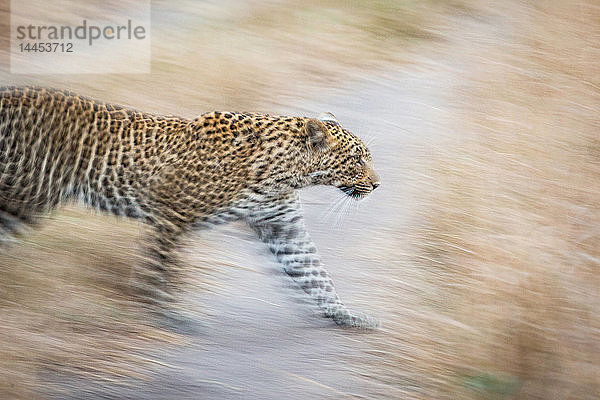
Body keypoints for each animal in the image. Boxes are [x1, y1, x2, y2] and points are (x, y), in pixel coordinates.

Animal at [0, 86, 382, 330]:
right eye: (357, 160)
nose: (378, 185)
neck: (287, 172)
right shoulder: (172, 218)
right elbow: (161, 269)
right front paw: (165, 314)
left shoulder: (281, 226)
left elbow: (315, 274)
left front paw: (345, 315)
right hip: (24, 192)